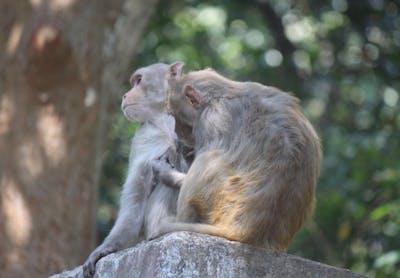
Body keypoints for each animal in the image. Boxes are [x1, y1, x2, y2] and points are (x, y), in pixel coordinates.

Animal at [82, 62, 191, 276]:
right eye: (133, 82)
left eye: (139, 81)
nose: (125, 95)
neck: (164, 120)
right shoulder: (142, 138)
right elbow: (136, 197)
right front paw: (105, 249)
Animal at [152, 65, 324, 252]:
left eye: (175, 116)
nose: (177, 132)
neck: (218, 96)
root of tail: (245, 231)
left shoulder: (212, 120)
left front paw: (167, 174)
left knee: (207, 159)